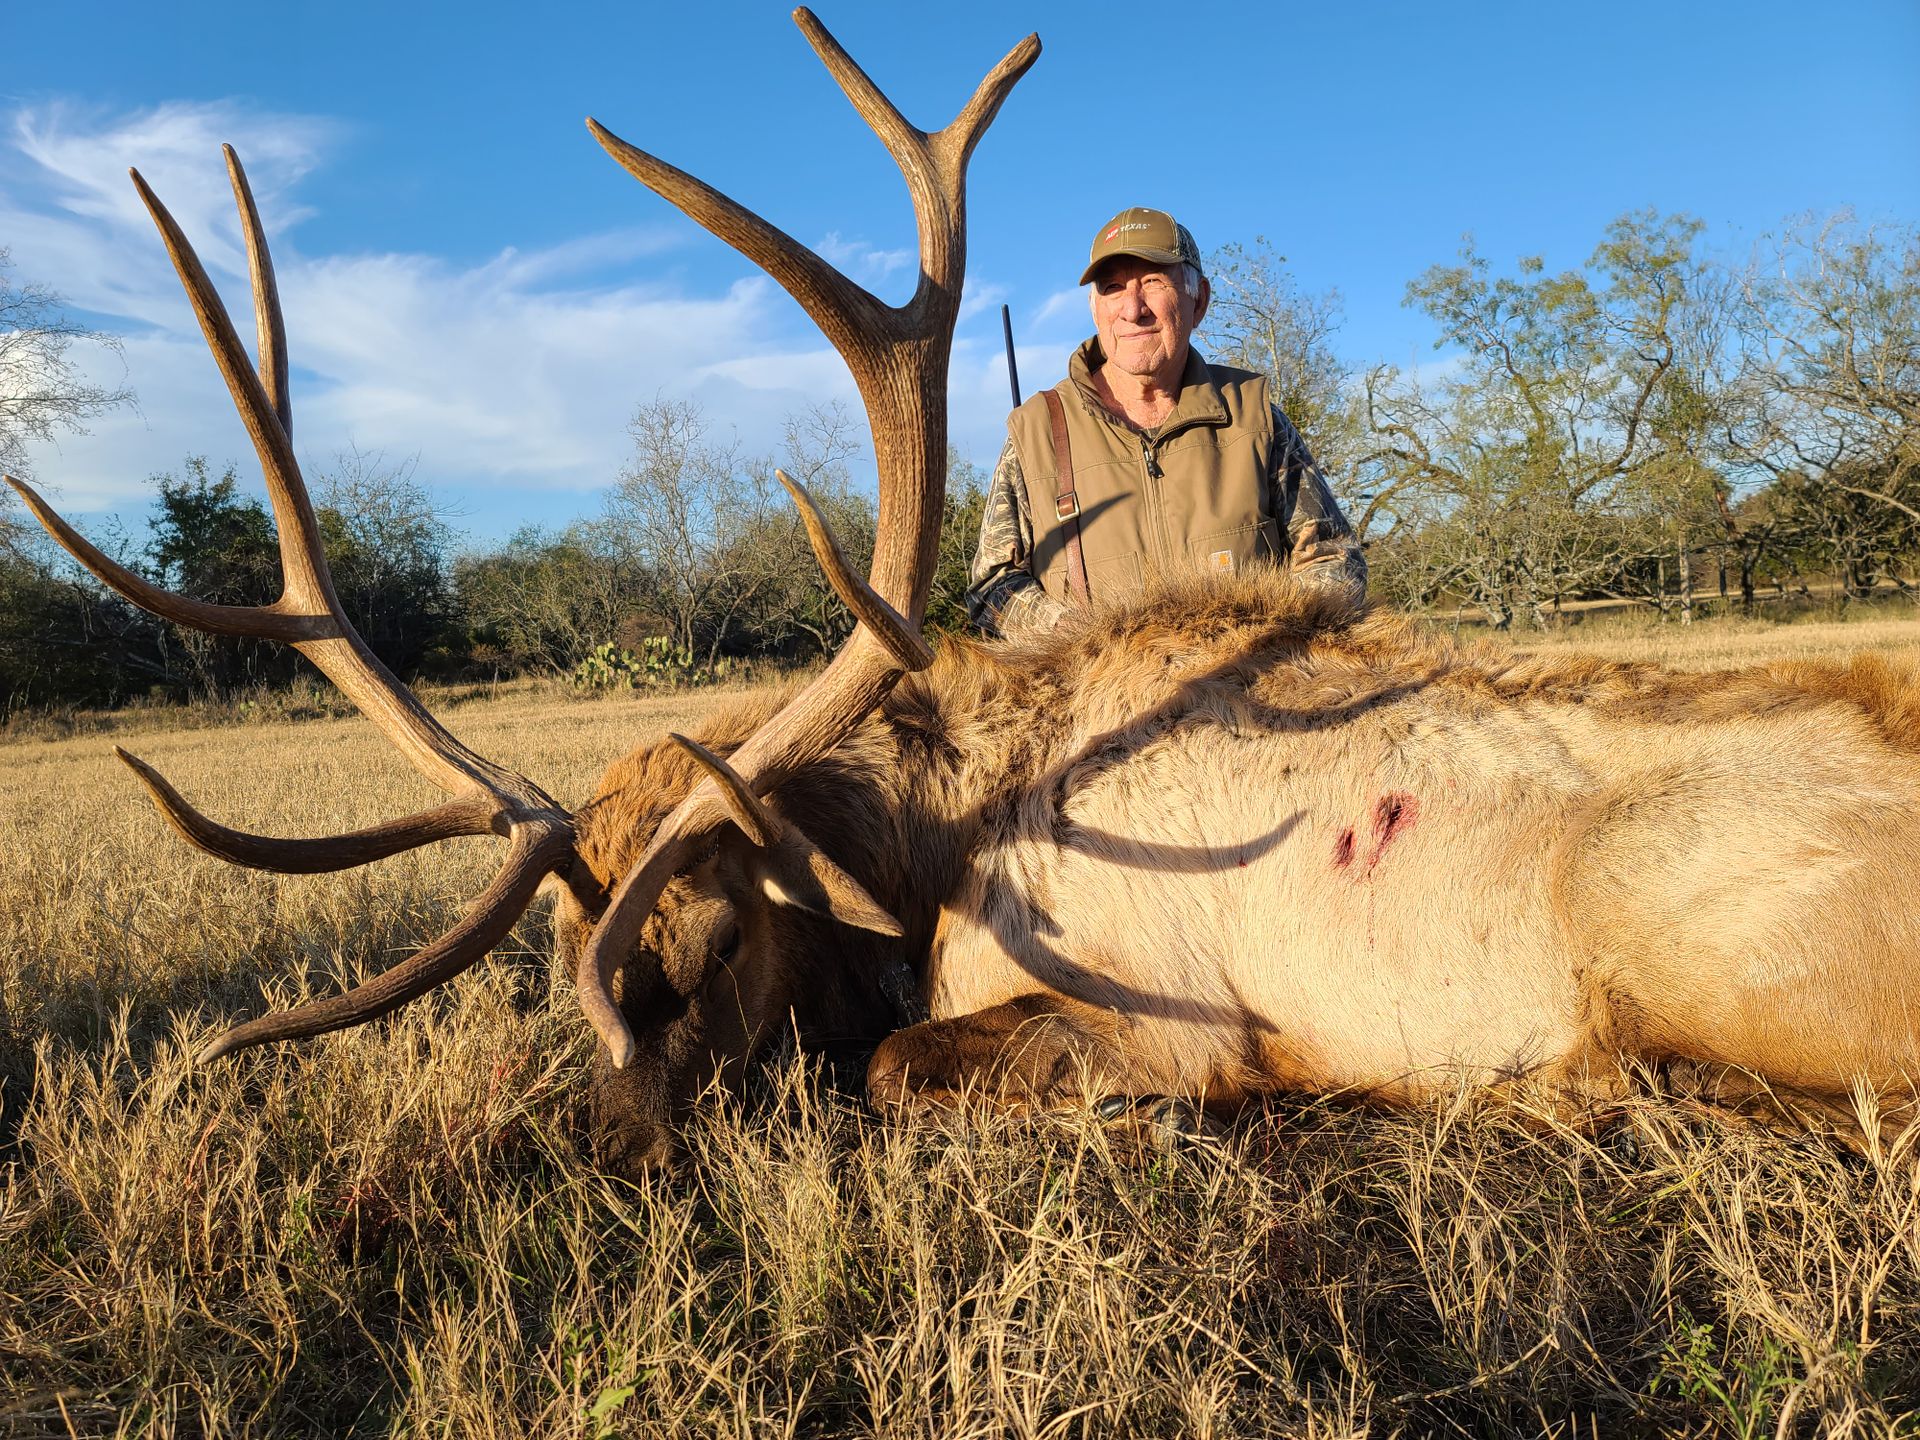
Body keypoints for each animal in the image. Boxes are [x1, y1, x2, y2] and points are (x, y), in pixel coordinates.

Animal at [12, 10, 1920, 1182]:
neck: (933, 839)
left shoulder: (1158, 1017)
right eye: (558, 952)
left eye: (713, 939)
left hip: (1664, 926)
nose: (614, 1152)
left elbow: (896, 1065)